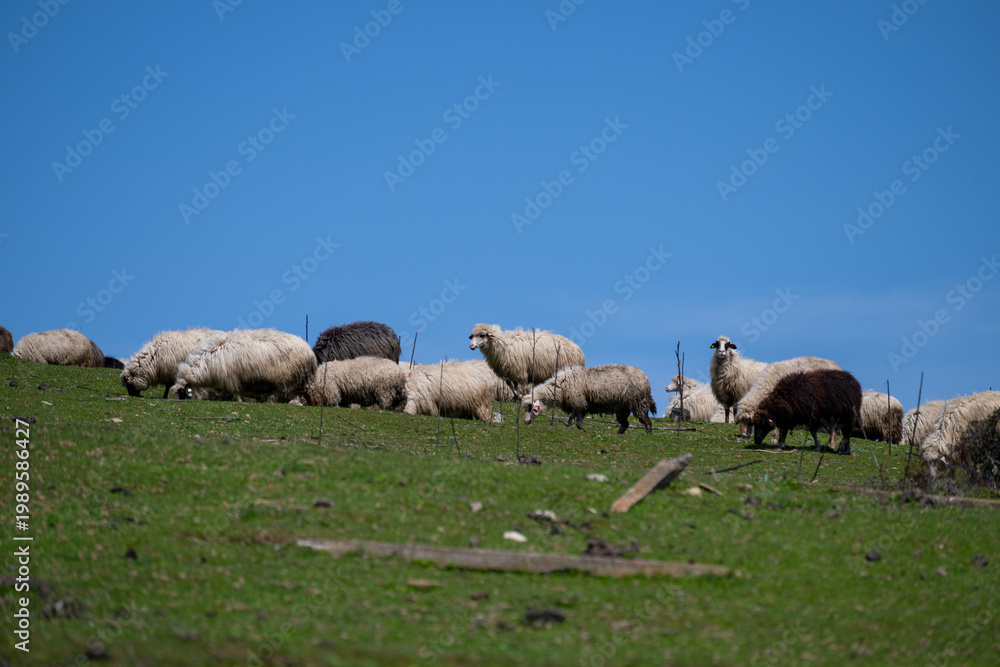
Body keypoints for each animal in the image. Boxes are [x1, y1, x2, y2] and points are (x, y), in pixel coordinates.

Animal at [171, 329, 316, 403]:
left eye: (182, 392)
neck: (206, 364)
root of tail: (308, 349)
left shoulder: (230, 379)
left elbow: (233, 394)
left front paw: (236, 401)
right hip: (300, 379)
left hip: (289, 379)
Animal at [522, 364, 657, 434]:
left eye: (533, 408)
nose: (526, 422)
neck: (561, 387)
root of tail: (646, 378)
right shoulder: (582, 405)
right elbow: (578, 420)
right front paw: (579, 428)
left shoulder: (578, 402)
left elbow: (573, 417)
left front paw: (572, 427)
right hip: (622, 407)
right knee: (625, 423)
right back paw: (618, 434)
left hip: (638, 402)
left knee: (646, 420)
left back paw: (649, 433)